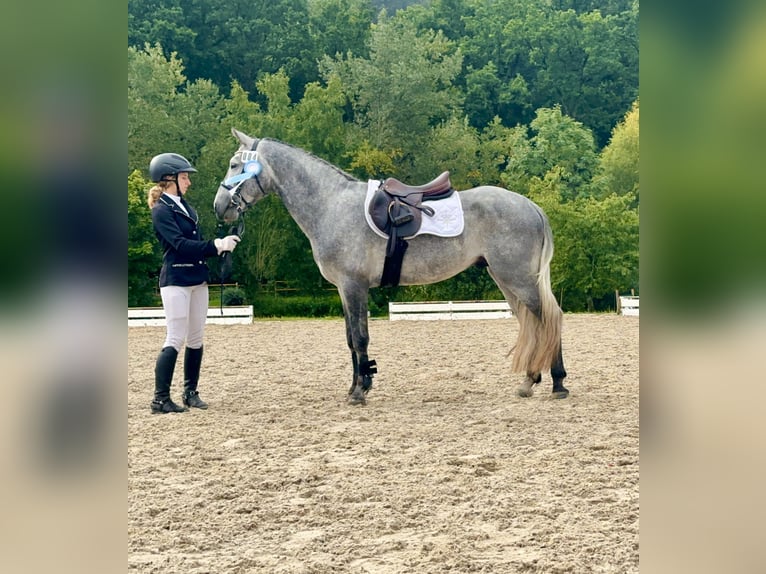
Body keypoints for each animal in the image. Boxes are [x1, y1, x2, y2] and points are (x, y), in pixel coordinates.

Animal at [213, 128, 568, 404]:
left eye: (235, 165)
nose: (220, 207)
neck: (331, 205)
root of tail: (531, 206)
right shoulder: (344, 290)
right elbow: (350, 339)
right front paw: (356, 385)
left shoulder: (354, 286)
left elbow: (360, 338)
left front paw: (360, 391)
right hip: (506, 280)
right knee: (534, 323)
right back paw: (530, 381)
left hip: (519, 279)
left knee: (548, 319)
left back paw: (558, 383)